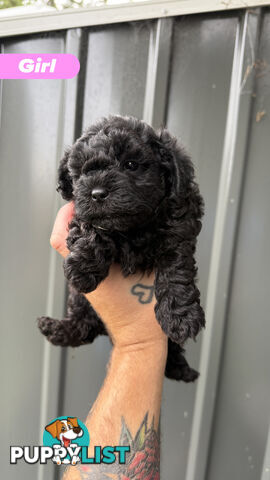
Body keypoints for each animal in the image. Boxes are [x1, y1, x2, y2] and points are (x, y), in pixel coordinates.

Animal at [38, 114, 205, 380]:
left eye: (131, 164)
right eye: (82, 172)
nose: (97, 193)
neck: (132, 228)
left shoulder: (181, 224)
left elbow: (176, 268)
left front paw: (180, 316)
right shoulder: (81, 209)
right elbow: (89, 225)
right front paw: (83, 266)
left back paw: (179, 366)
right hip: (79, 300)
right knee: (85, 327)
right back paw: (56, 329)